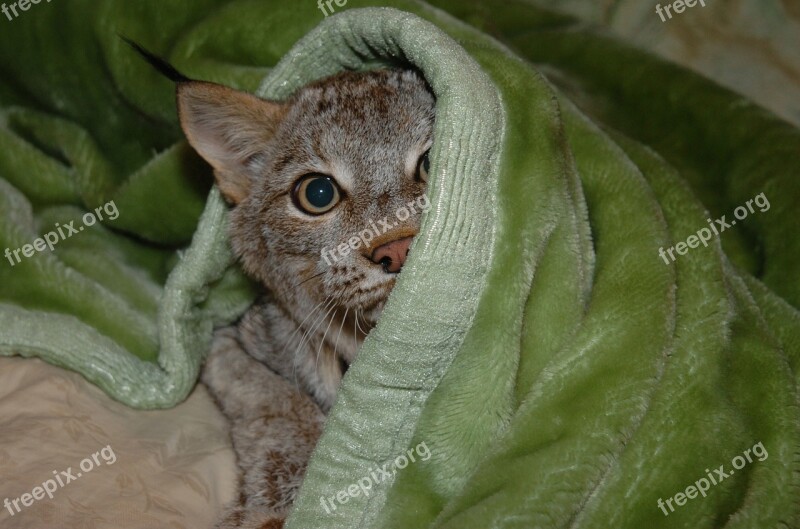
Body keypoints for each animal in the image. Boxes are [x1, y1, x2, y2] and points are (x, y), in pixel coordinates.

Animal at [171, 64, 434, 524]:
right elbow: (275, 396)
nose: (398, 250)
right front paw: (280, 502)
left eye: (433, 163)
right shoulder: (226, 335)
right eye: (318, 193)